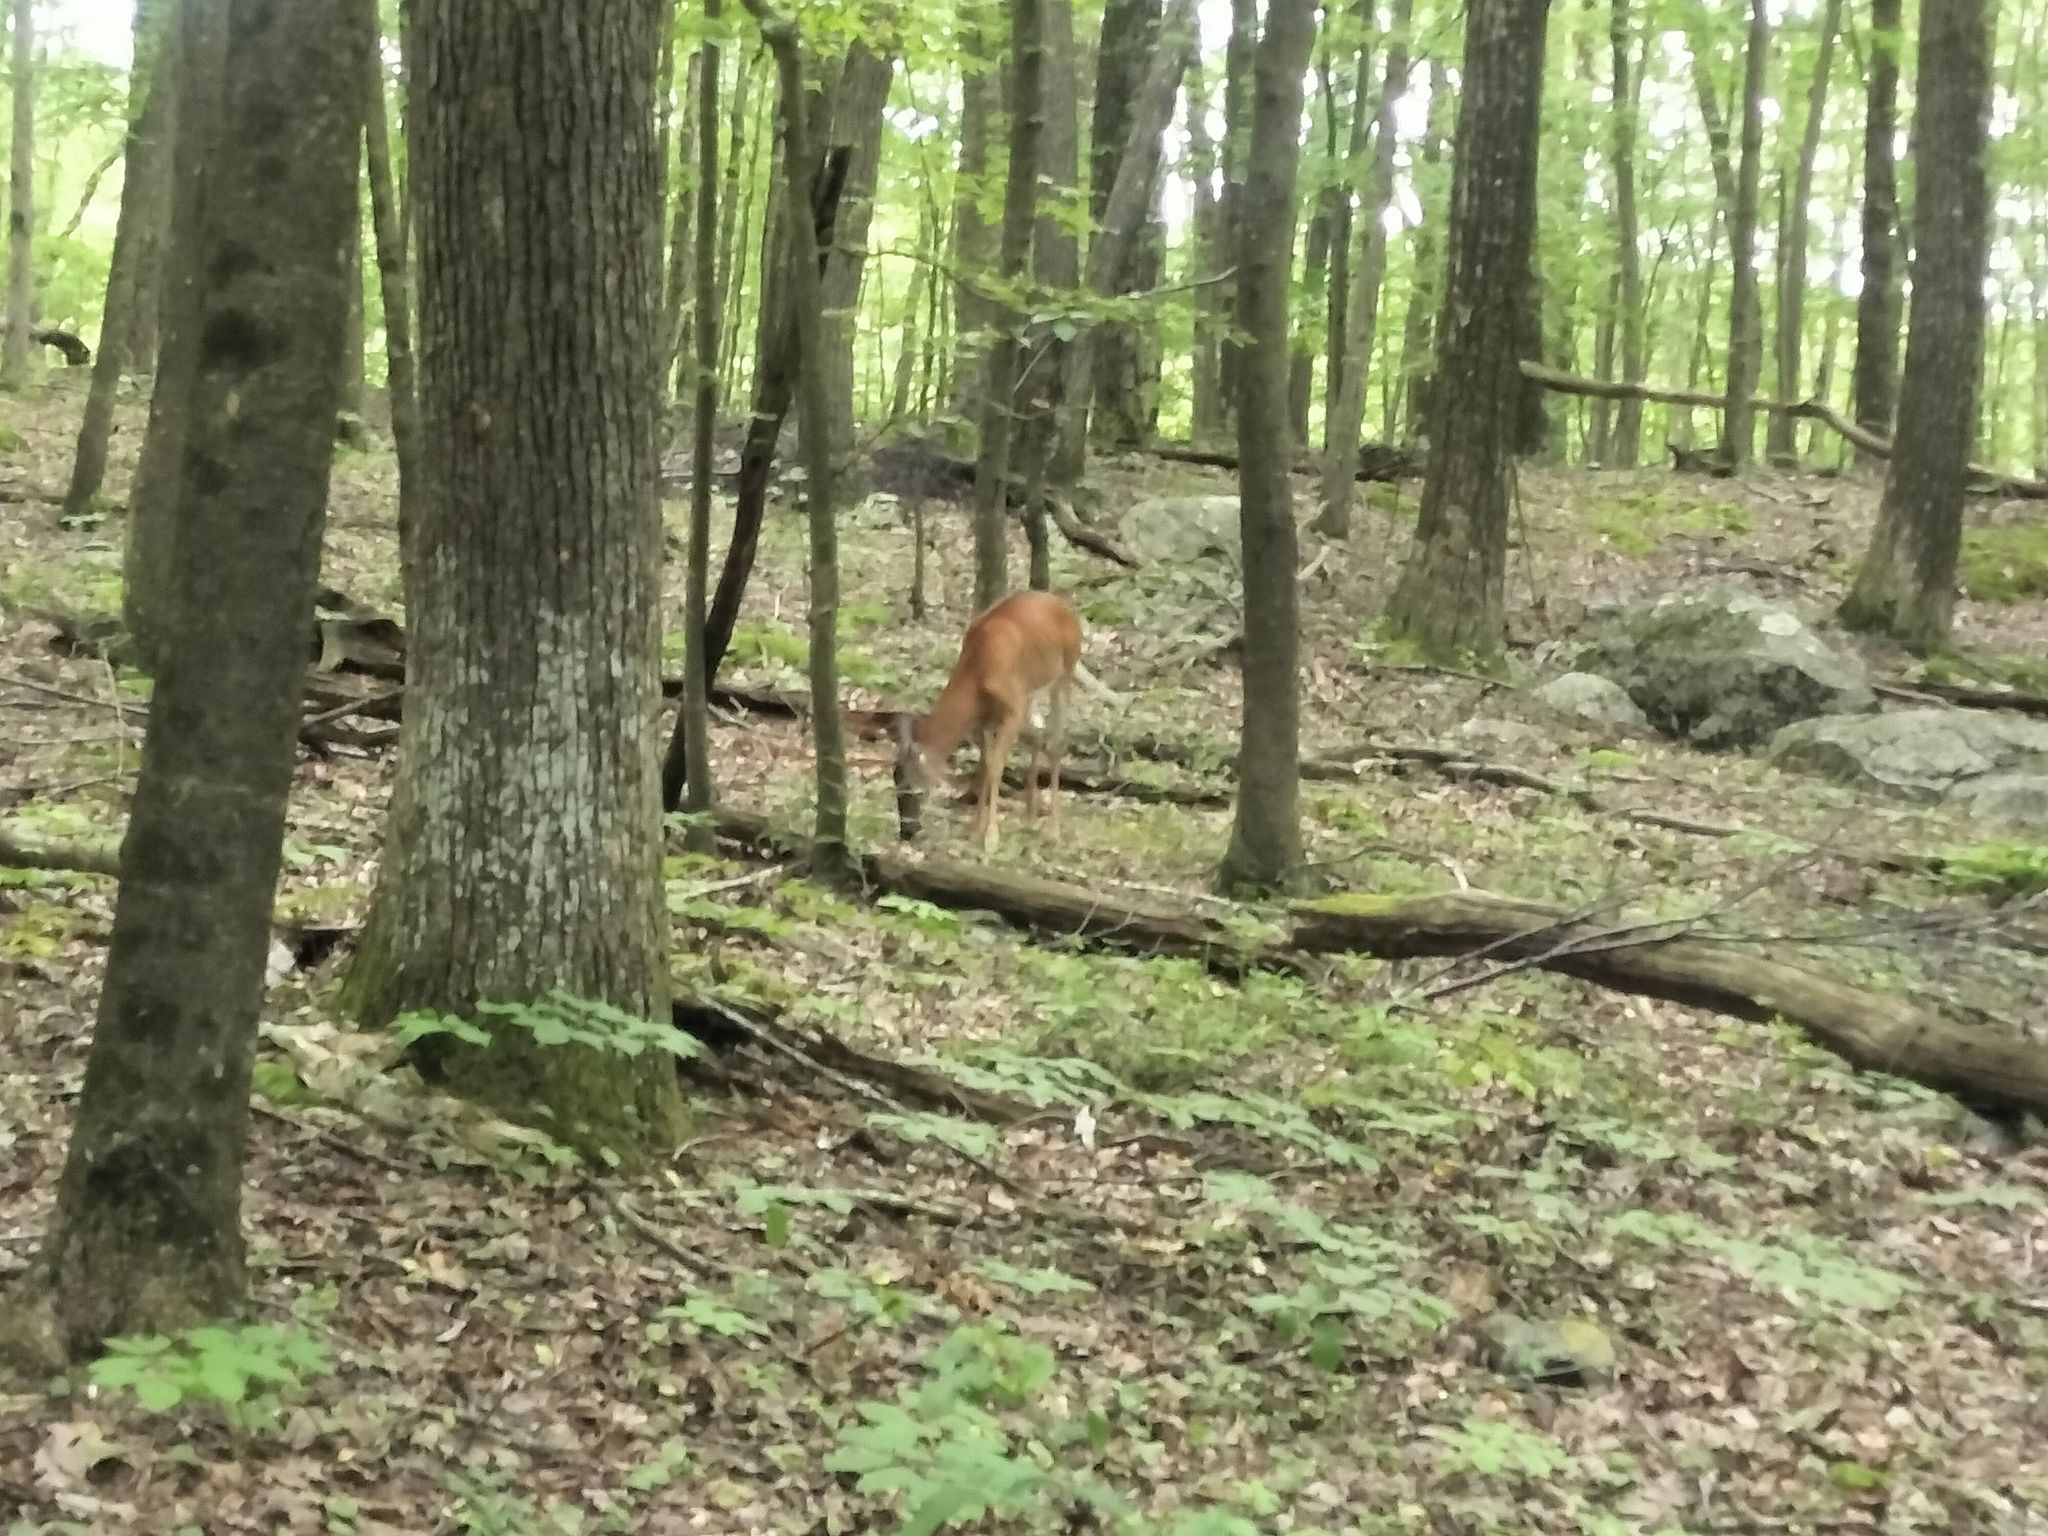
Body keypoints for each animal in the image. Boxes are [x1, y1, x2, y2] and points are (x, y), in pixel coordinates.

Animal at [890, 590, 1104, 855]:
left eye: (911, 790)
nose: (907, 832)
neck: (977, 670)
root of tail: (1065, 608)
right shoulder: (983, 719)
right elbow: (987, 764)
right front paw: (976, 831)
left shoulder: (1013, 707)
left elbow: (996, 766)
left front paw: (990, 838)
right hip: (1031, 690)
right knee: (1038, 736)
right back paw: (1030, 818)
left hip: (1065, 671)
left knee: (1056, 743)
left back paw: (1053, 831)